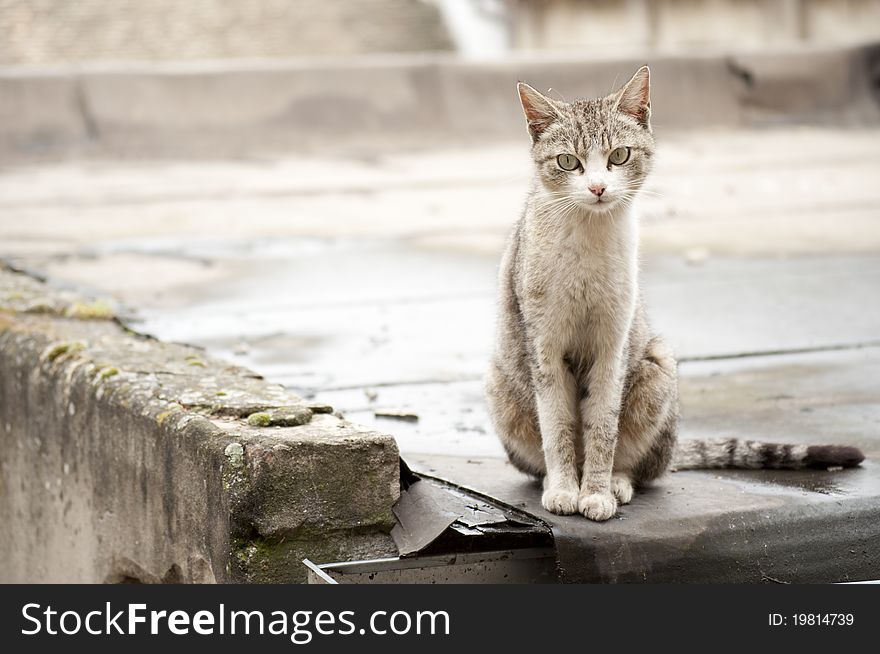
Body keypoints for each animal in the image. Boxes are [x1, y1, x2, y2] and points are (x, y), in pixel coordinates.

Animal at [484, 68, 864, 524]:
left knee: (643, 464)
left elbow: (602, 428)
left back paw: (618, 481)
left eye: (619, 156)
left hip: (658, 366)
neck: (589, 239)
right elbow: (557, 427)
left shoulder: (613, 347)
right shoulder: (544, 346)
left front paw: (595, 492)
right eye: (567, 162)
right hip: (500, 383)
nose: (597, 188)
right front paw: (563, 489)